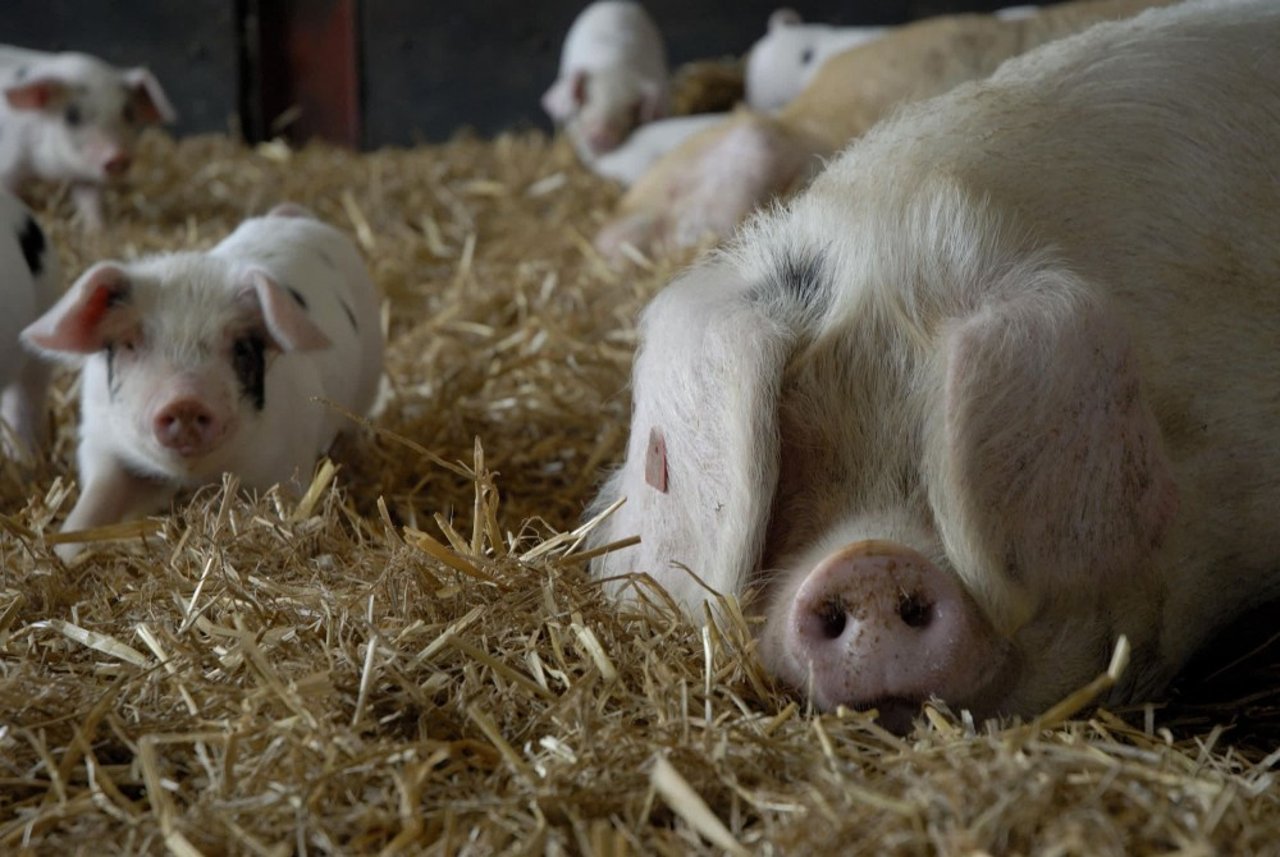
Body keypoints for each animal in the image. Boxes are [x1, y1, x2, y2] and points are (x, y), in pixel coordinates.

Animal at [0, 46, 175, 231]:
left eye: (129, 113)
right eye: (72, 116)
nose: (118, 156)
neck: (50, 170)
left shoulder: (86, 177)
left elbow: (90, 200)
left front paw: (97, 231)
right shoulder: (9, 160)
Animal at [22, 208, 381, 557]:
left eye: (240, 346)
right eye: (129, 343)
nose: (184, 400)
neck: (194, 474)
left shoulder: (289, 460)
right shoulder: (99, 439)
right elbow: (94, 500)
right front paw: (60, 552)